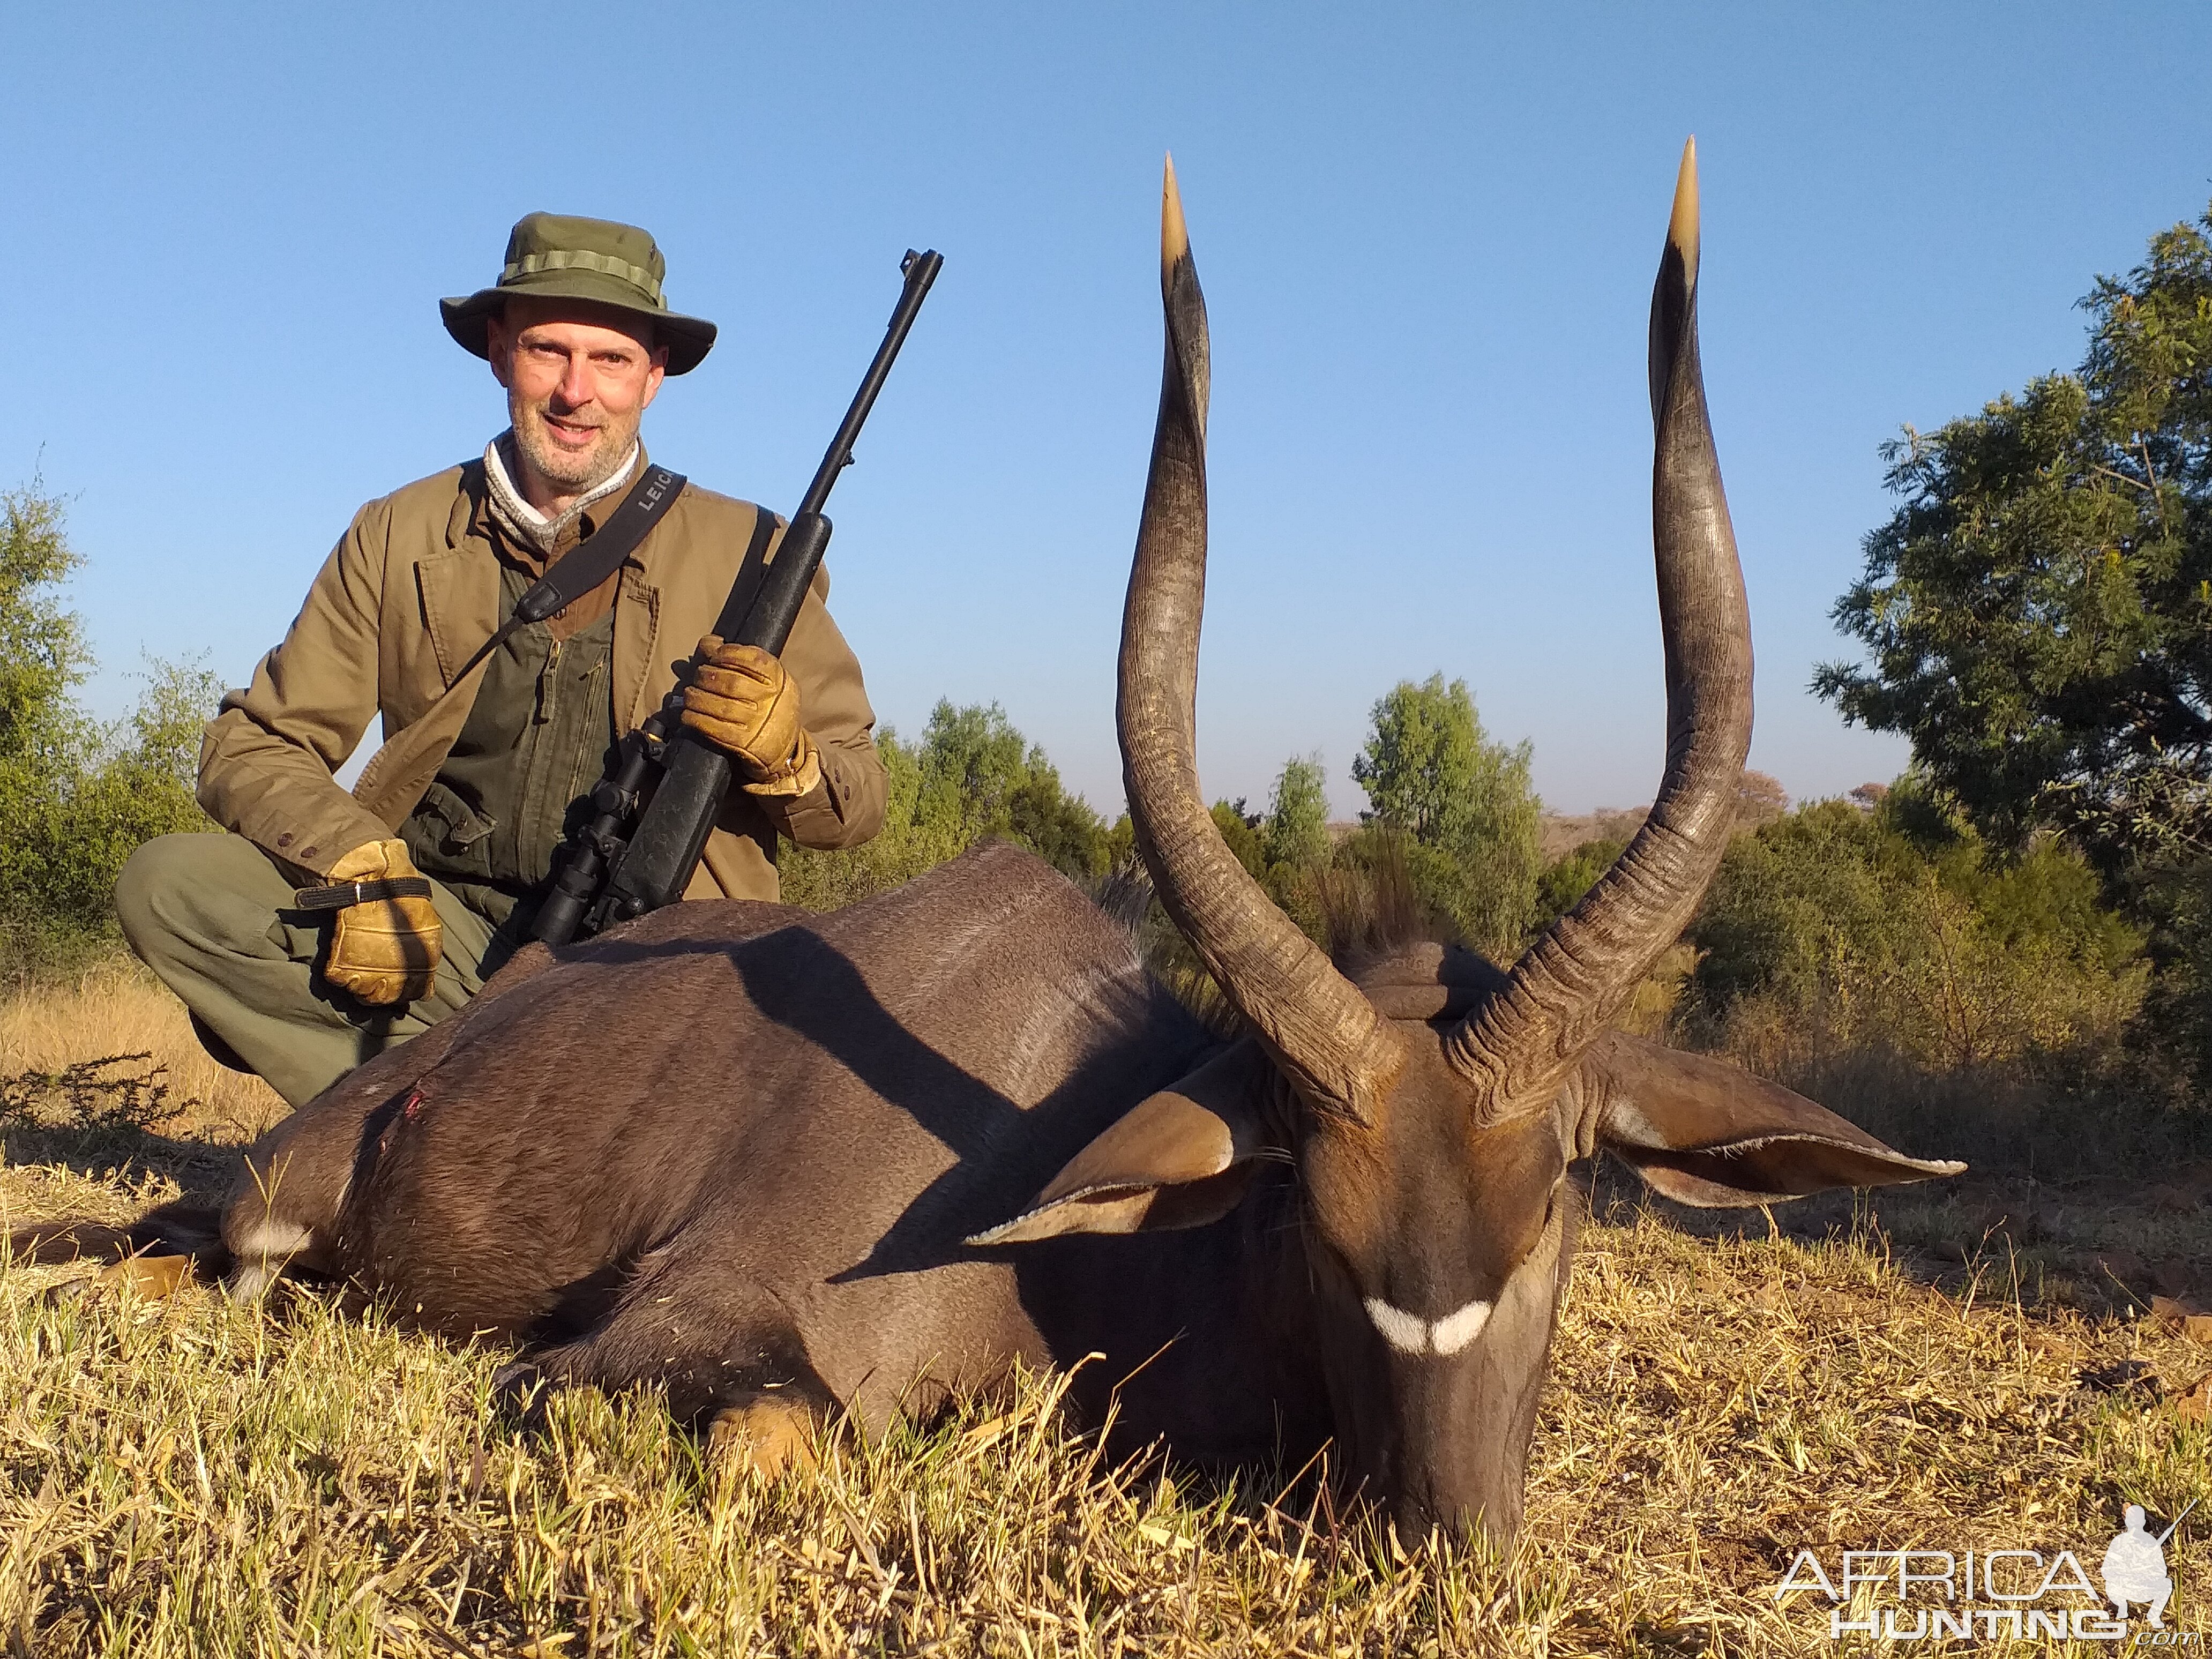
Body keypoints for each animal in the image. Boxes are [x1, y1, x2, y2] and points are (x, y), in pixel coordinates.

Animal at [13, 149, 1955, 1557]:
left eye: (1557, 1198)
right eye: (1308, 1210)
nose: (1444, 1536)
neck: (1054, 1209)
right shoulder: (653, 1340)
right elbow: (774, 1435)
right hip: (271, 1211)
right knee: (187, 1257)